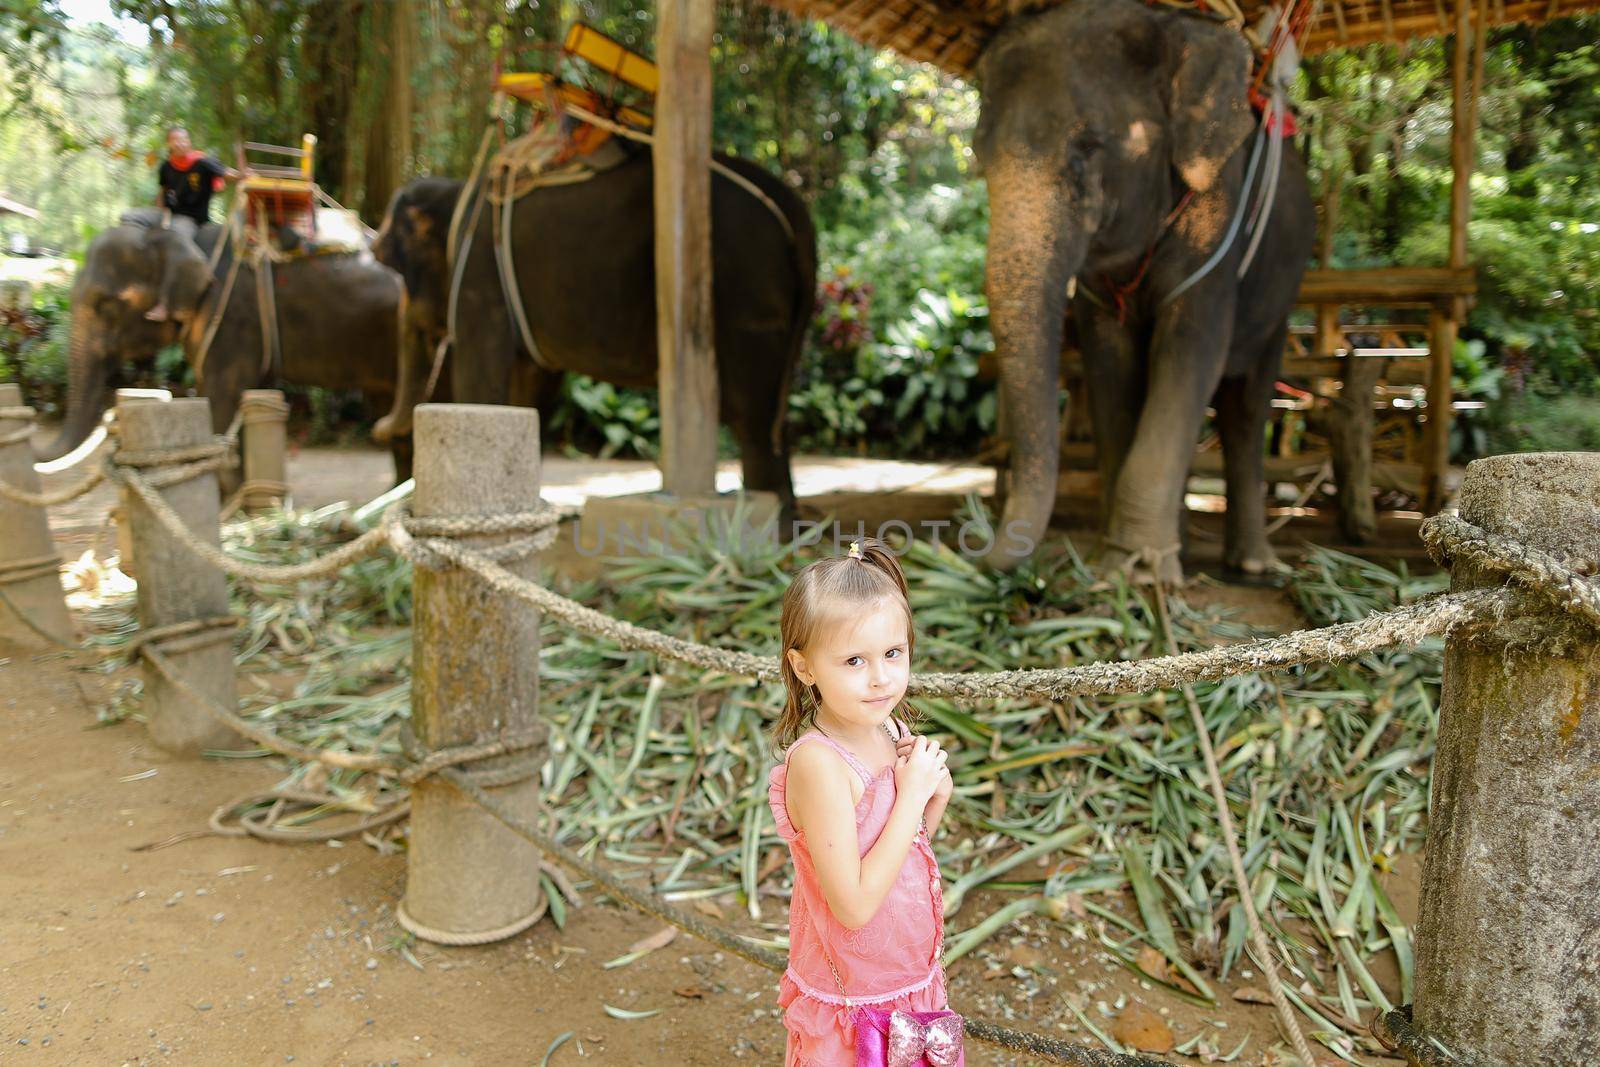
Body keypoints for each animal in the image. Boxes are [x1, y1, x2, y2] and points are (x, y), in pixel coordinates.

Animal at [371, 143, 812, 527]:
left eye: (389, 260)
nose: (378, 425)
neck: (459, 191)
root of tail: (793, 207)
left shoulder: (480, 276)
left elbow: (480, 388)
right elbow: (530, 393)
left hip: (743, 291)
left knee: (751, 419)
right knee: (775, 419)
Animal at [972, 0, 1312, 585]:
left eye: (1089, 147)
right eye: (978, 155)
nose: (975, 552)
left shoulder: (1217, 218)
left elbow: (1192, 351)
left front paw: (1142, 576)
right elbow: (1112, 367)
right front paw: (1117, 565)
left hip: (1281, 300)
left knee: (1246, 405)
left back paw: (1252, 564)